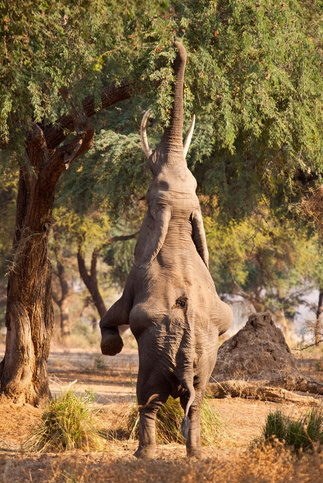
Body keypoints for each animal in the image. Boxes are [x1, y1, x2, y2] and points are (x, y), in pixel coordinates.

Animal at [99, 40, 233, 458]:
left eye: (148, 194)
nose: (179, 47)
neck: (173, 227)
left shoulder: (135, 275)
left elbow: (116, 312)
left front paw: (111, 347)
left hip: (156, 357)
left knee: (149, 399)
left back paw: (144, 454)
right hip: (205, 361)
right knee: (198, 401)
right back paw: (196, 454)